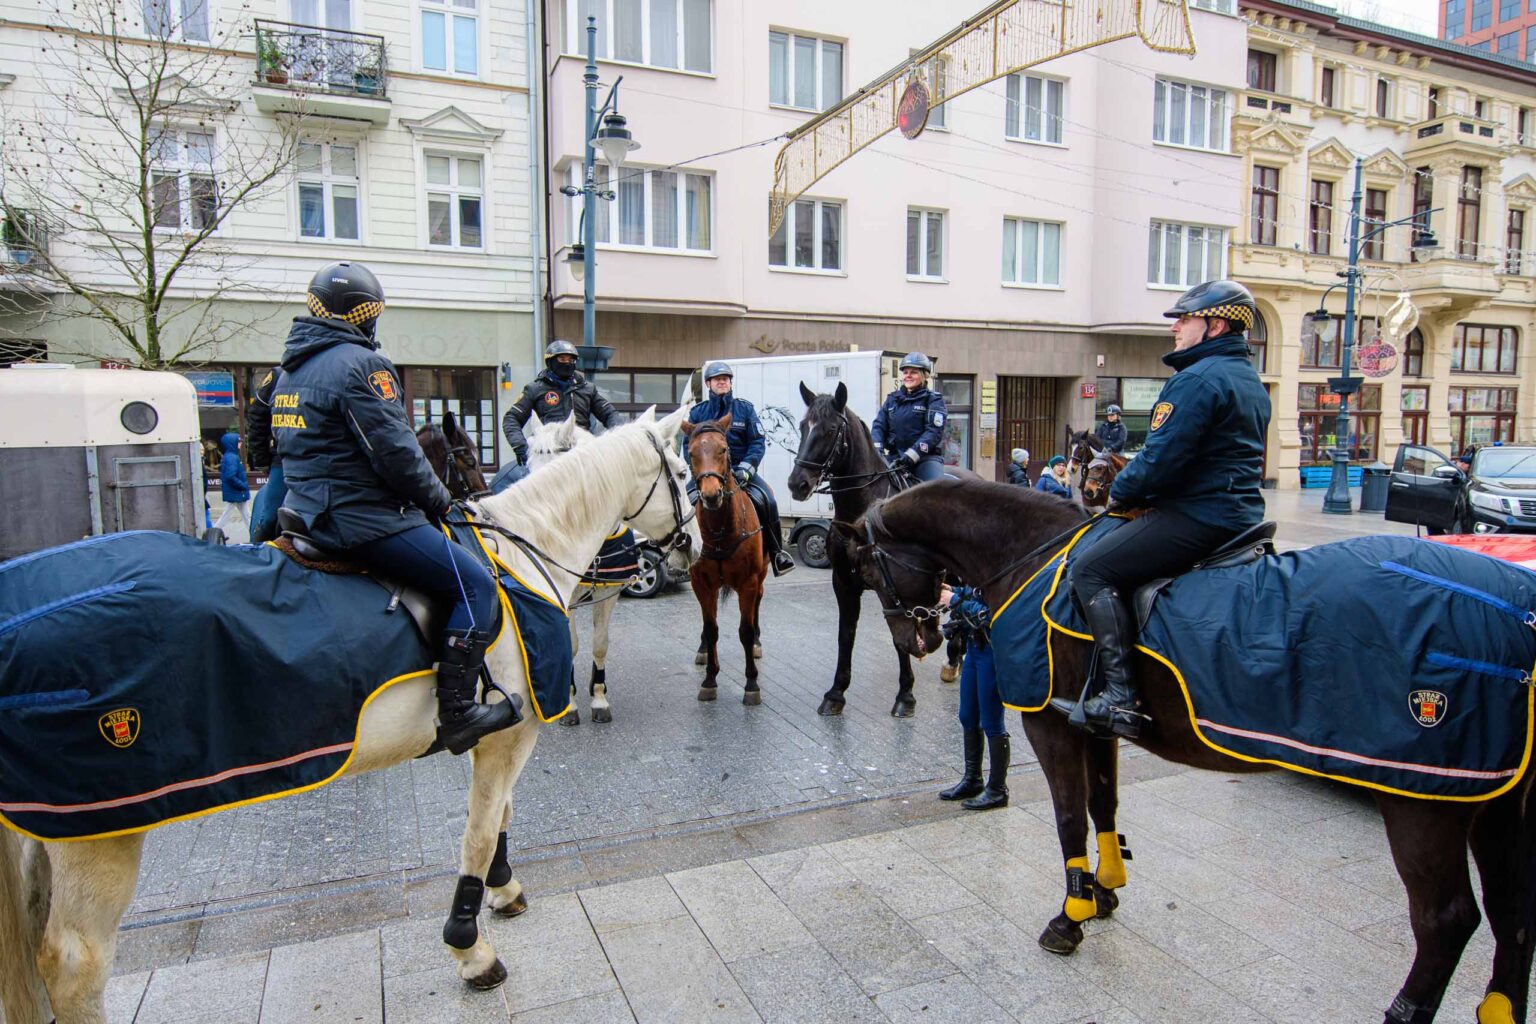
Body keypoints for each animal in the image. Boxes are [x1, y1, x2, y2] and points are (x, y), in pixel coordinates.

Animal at [0, 408, 700, 1024]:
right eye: (681, 471)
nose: (691, 544)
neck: (528, 549)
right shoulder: (512, 734)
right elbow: (479, 832)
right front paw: (470, 946)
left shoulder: (501, 733)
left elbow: (500, 816)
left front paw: (503, 889)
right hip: (100, 831)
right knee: (74, 966)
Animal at [685, 411, 768, 709]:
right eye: (691, 452)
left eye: (723, 449)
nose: (711, 495)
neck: (720, 529)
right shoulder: (701, 584)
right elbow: (711, 630)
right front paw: (710, 680)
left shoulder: (748, 582)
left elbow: (744, 631)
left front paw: (752, 684)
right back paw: (702, 650)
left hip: (761, 576)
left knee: (757, 604)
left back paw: (757, 643)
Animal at [792, 380, 970, 718]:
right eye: (803, 426)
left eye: (831, 429)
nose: (798, 484)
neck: (860, 513)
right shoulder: (844, 583)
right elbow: (845, 635)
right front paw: (836, 693)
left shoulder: (893, 585)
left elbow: (899, 637)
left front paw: (905, 695)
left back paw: (955, 658)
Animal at [841, 482, 1536, 1024]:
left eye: (870, 572)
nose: (919, 638)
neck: (1030, 556)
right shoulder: (1096, 727)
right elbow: (1102, 805)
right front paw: (1105, 891)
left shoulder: (1049, 723)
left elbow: (1067, 817)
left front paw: (1071, 914)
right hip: (1498, 798)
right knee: (1513, 911)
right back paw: (1499, 1007)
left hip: (1424, 797)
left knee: (1445, 920)